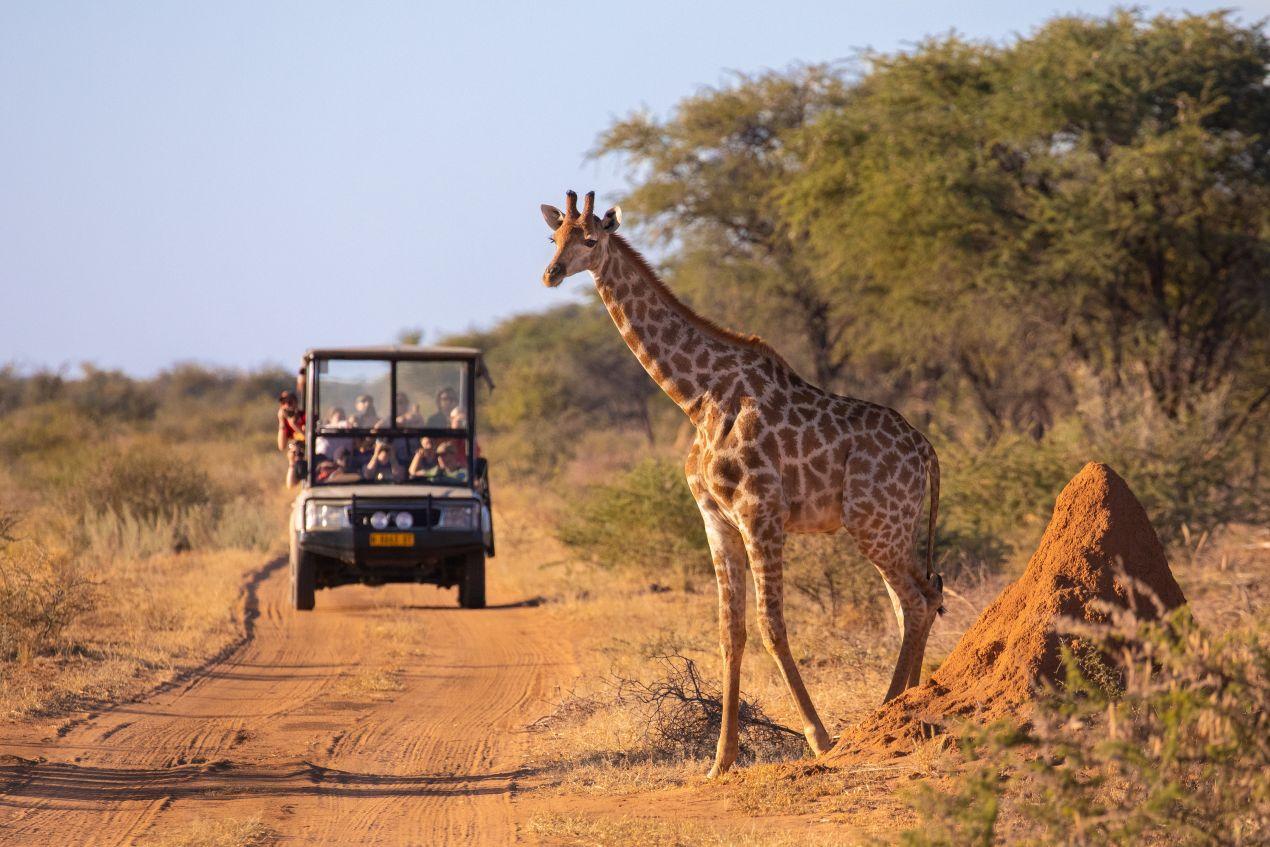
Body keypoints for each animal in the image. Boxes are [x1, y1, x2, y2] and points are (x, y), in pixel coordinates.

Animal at [538, 190, 944, 777]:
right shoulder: (716, 519)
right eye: (554, 237)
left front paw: (820, 739)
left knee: (914, 600)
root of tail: (928, 451)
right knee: (921, 596)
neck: (696, 397)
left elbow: (772, 625)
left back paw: (888, 711)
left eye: (590, 239)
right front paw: (721, 760)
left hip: (875, 524)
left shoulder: (760, 512)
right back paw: (907, 703)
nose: (550, 273)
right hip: (894, 526)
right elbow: (731, 633)